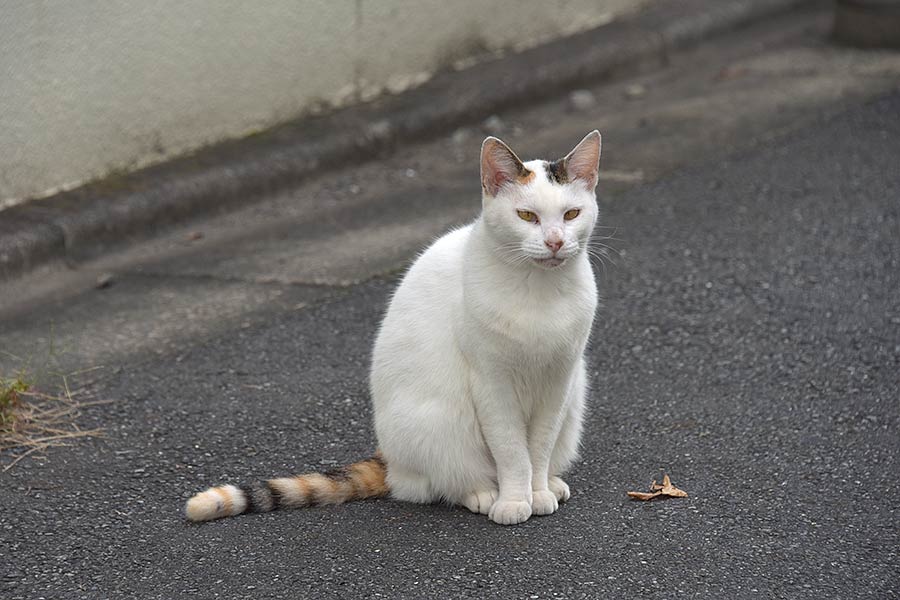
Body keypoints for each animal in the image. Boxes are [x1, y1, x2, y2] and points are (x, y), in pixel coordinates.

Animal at [186, 131, 600, 524]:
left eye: (571, 214)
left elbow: (538, 446)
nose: (555, 242)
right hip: (441, 421)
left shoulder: (559, 379)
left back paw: (550, 483)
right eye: (527, 216)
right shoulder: (491, 383)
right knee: (433, 484)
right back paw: (482, 493)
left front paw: (537, 490)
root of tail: (388, 459)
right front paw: (515, 500)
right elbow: (512, 449)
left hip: (574, 403)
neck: (537, 292)